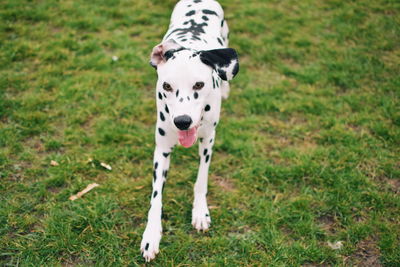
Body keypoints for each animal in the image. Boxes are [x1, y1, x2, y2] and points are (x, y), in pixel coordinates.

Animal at [140, 0, 238, 264]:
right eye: (166, 86)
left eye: (199, 85)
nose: (182, 122)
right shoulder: (162, 149)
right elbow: (156, 197)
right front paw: (151, 234)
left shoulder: (208, 140)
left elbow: (201, 180)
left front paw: (200, 212)